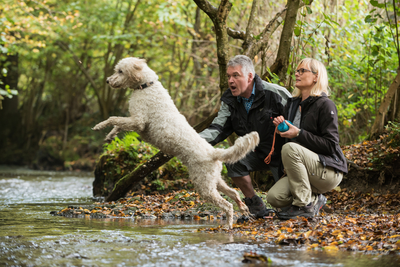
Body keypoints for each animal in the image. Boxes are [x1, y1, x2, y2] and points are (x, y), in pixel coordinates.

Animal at [94, 57, 260, 229]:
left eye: (120, 71)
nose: (107, 80)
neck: (146, 86)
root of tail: (214, 152)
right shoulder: (133, 121)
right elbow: (118, 124)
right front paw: (109, 135)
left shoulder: (138, 121)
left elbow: (114, 118)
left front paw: (99, 125)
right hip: (215, 181)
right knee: (234, 193)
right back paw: (243, 208)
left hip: (204, 185)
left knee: (227, 205)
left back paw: (228, 225)